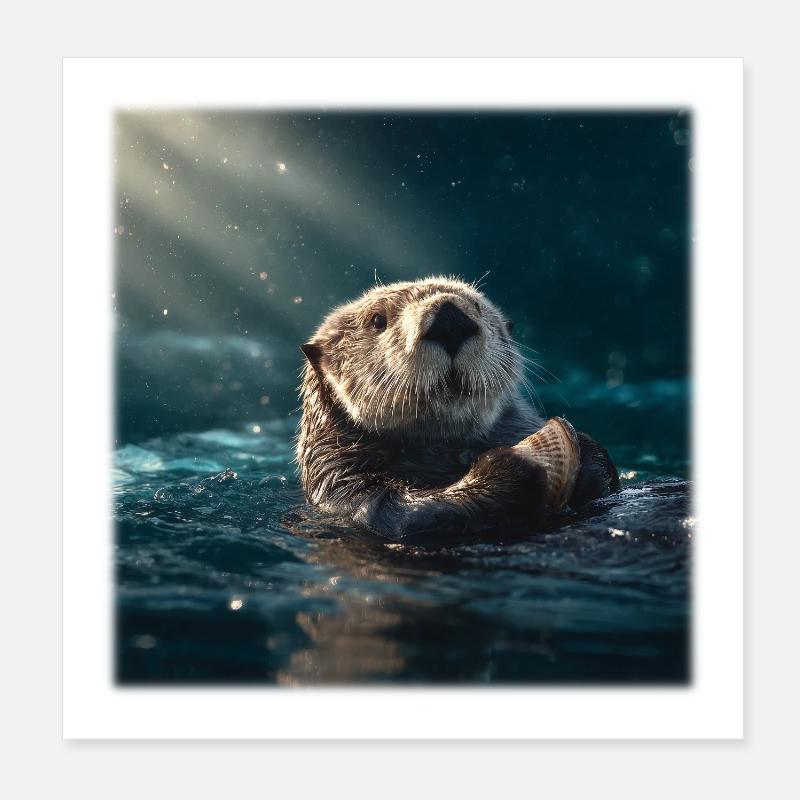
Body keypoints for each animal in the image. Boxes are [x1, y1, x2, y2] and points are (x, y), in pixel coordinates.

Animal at [297, 276, 618, 541]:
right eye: (377, 320)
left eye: (477, 305)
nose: (449, 319)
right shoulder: (341, 484)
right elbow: (401, 515)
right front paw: (510, 464)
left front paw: (586, 452)